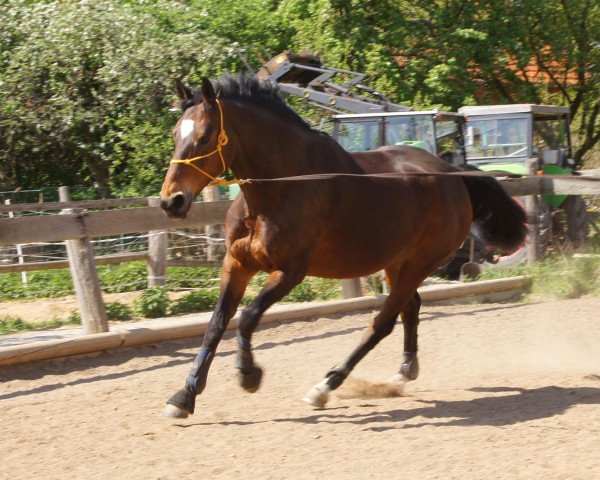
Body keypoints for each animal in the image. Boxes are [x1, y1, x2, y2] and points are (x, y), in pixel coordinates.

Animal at [158, 73, 524, 418]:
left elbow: (247, 317)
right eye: (175, 135)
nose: (171, 201)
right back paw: (404, 372)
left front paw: (248, 375)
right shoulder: (236, 263)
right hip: (397, 263)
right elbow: (216, 324)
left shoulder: (290, 272)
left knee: (382, 323)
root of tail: (453, 174)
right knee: (411, 309)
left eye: (205, 136)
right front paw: (184, 397)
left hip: (419, 265)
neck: (280, 188)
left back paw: (325, 386)